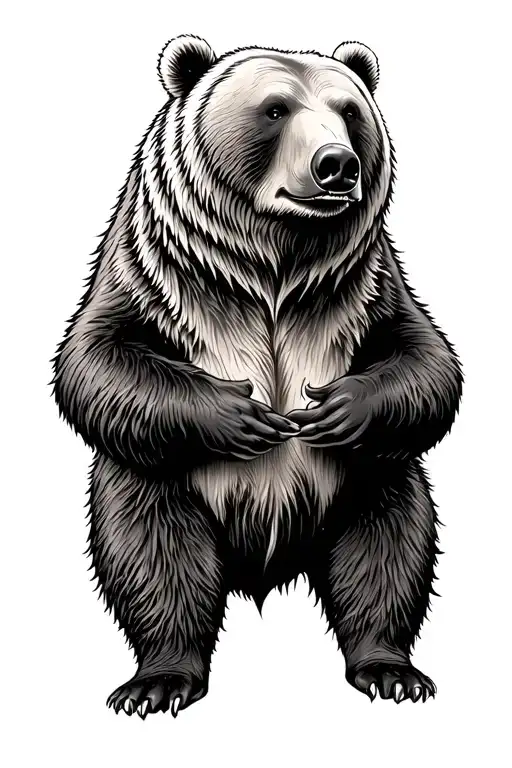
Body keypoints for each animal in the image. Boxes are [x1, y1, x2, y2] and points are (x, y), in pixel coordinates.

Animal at [52, 35, 463, 718]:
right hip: (167, 480)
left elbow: (427, 359)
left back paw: (388, 667)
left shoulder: (368, 287)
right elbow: (94, 357)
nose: (337, 164)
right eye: (275, 109)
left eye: (349, 110)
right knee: (153, 550)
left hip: (362, 483)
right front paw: (243, 416)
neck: (274, 260)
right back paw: (160, 677)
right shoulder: (154, 272)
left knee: (389, 543)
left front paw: (333, 409)